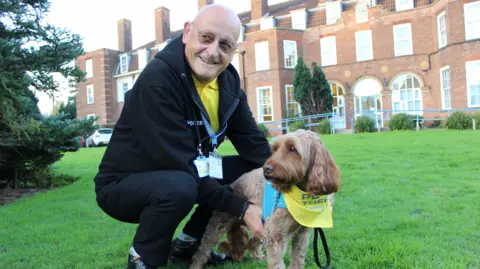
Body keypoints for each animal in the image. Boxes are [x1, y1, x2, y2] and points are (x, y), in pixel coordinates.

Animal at [189, 129, 340, 266]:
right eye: (275, 149)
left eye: (293, 149)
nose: (266, 168)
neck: (302, 196)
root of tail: (232, 185)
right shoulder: (276, 236)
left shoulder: (301, 235)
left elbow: (297, 260)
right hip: (219, 223)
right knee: (201, 252)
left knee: (252, 241)